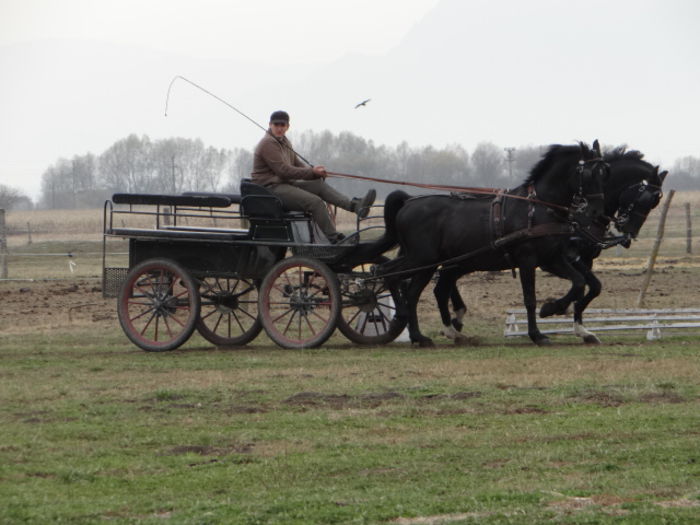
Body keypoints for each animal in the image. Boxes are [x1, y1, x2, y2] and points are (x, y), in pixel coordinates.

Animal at [370, 141, 608, 346]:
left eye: (604, 171)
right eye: (589, 173)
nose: (597, 213)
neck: (536, 208)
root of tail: (409, 201)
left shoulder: (551, 259)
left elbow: (578, 282)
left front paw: (552, 308)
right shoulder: (527, 259)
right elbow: (529, 298)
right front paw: (537, 334)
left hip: (428, 262)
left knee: (411, 290)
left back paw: (419, 336)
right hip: (422, 259)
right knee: (388, 273)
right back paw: (401, 317)